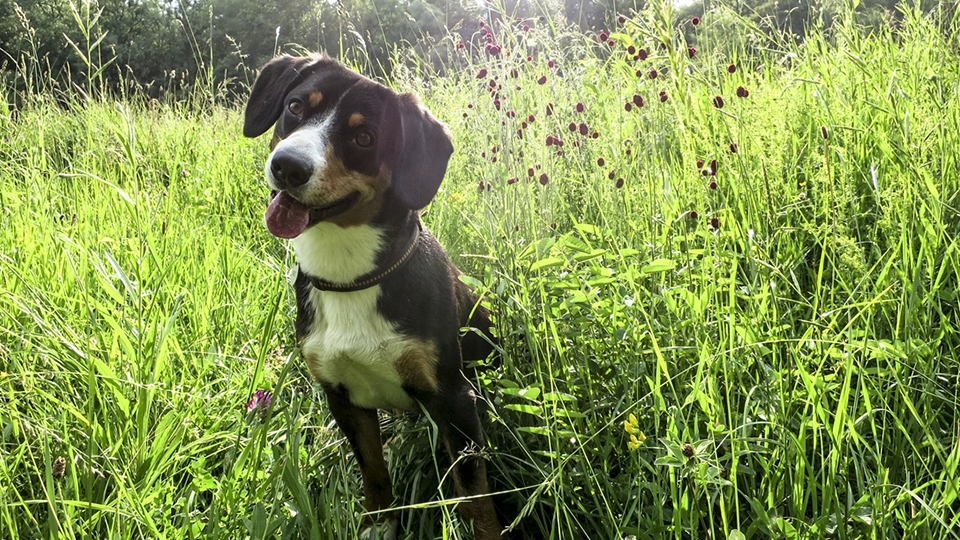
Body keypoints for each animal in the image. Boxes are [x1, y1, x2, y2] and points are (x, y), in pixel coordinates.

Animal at [244, 56, 506, 540]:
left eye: (363, 137)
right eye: (295, 106)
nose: (288, 166)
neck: (350, 279)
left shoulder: (454, 397)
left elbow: (474, 494)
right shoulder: (341, 396)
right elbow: (372, 468)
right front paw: (380, 522)